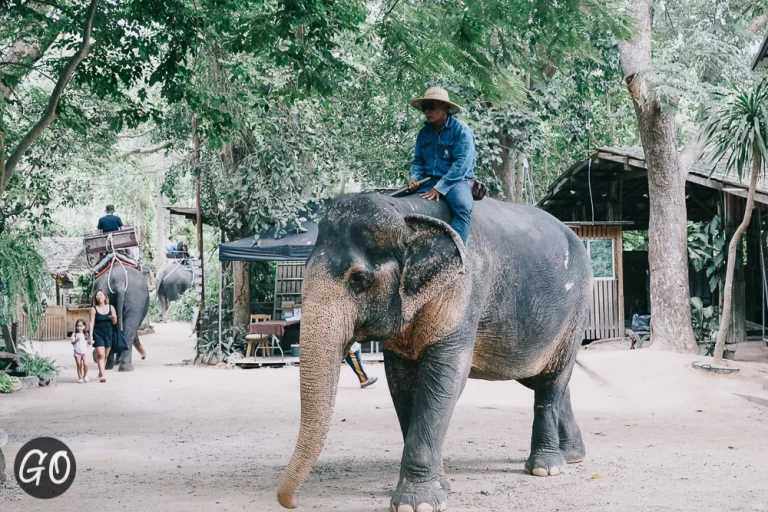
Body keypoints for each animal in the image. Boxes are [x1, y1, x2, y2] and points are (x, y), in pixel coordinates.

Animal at [278, 193, 592, 512]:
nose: (291, 502)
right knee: (541, 378)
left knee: (551, 380)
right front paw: (441, 486)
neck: (406, 212)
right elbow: (401, 385)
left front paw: (416, 504)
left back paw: (546, 467)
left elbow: (443, 380)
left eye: (359, 279)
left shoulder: (464, 290)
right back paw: (572, 455)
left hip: (576, 312)